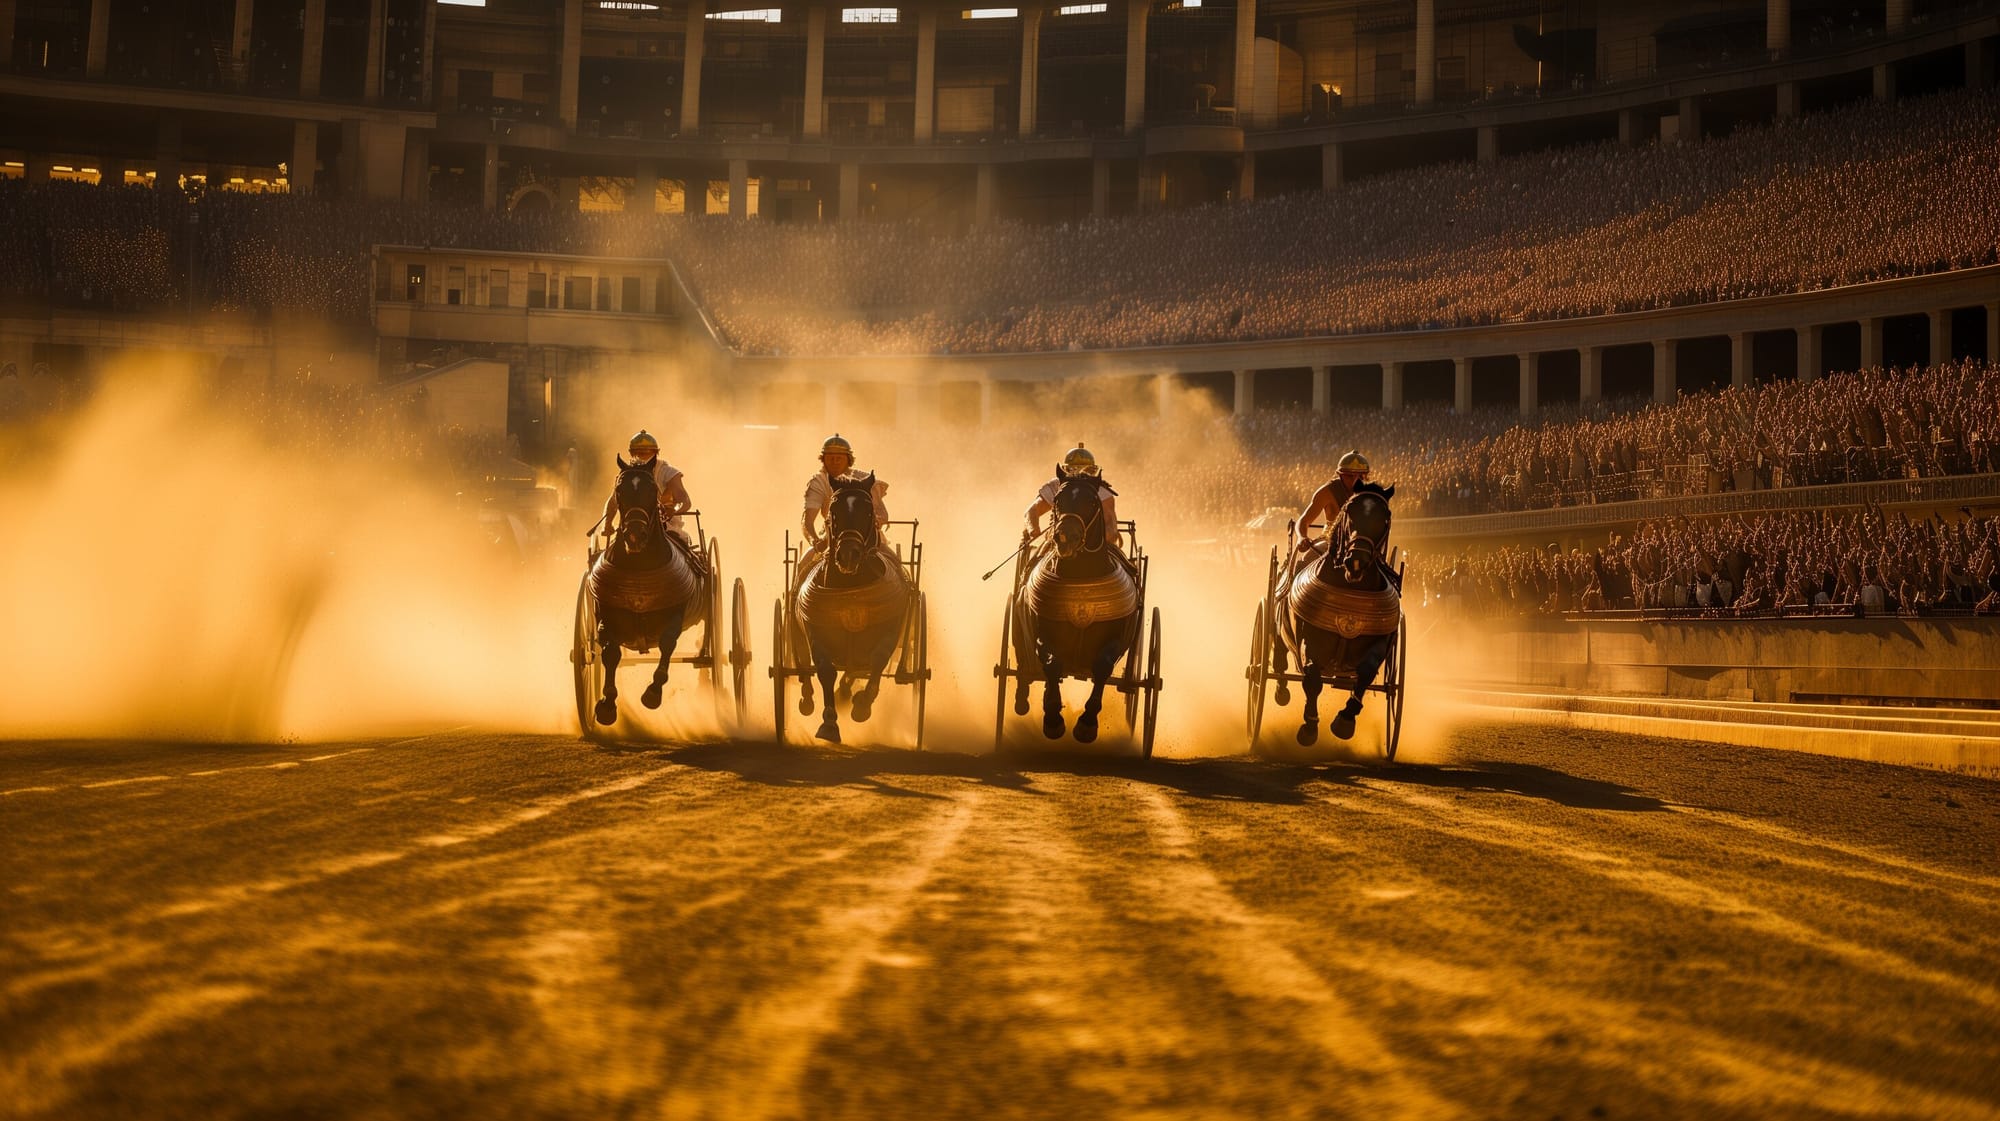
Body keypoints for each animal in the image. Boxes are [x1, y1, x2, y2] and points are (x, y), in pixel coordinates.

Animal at [584, 456, 712, 728]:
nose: (635, 534)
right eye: (619, 490)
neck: (639, 565)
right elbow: (610, 653)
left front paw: (653, 693)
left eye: (653, 490)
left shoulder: (675, 613)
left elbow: (668, 643)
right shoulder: (606, 613)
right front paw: (607, 705)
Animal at [792, 472, 912, 744]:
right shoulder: (815, 630)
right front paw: (828, 722)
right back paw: (808, 697)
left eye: (868, 510)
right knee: (803, 661)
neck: (850, 590)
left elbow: (878, 660)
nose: (849, 554)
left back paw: (848, 695)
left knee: (855, 669)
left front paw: (862, 705)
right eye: (833, 510)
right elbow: (825, 669)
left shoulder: (890, 627)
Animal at [1016, 470, 1144, 744]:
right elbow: (1051, 664)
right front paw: (1053, 719)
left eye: (1092, 502)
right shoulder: (1044, 632)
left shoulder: (1116, 637)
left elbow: (1103, 667)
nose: (1066, 537)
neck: (1080, 575)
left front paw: (1087, 724)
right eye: (1058, 499)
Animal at [1272, 480, 1400, 744]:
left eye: (1385, 517)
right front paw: (1309, 726)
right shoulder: (1310, 638)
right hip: (1278, 621)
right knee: (1277, 652)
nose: (1357, 560)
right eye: (1350, 511)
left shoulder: (1380, 640)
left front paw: (1345, 720)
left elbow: (1366, 672)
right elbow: (1312, 678)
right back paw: (1280, 689)